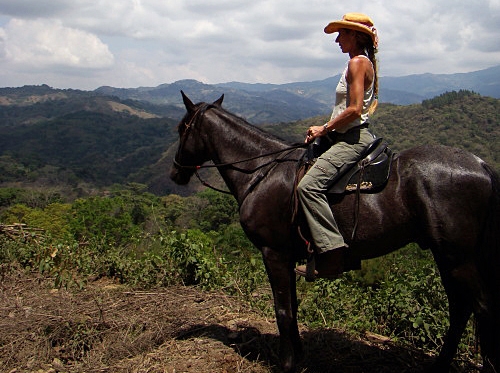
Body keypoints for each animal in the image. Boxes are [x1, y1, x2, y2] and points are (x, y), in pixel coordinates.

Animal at [171, 91, 500, 372]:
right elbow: (293, 307)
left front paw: (286, 364)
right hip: (447, 256)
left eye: (181, 128)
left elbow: (282, 310)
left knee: (481, 308)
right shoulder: (288, 256)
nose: (175, 173)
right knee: (460, 308)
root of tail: (482, 165)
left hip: (458, 258)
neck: (262, 170)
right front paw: (299, 357)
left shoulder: (274, 253)